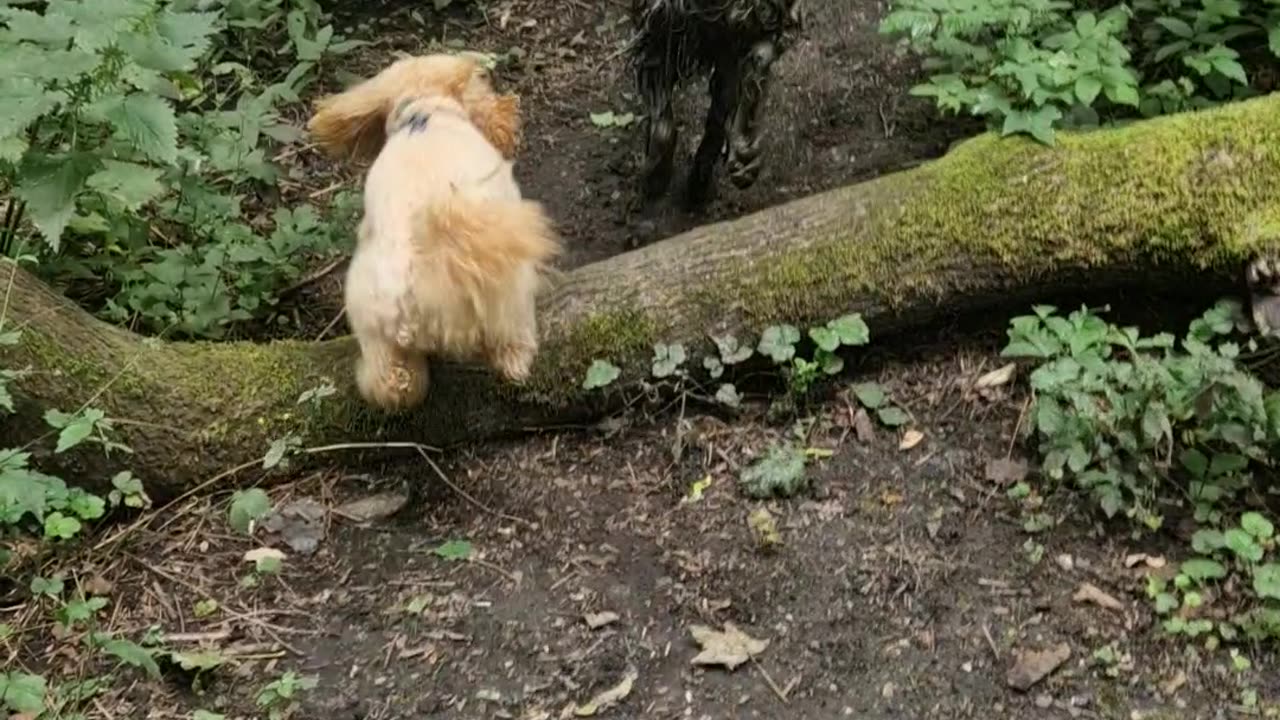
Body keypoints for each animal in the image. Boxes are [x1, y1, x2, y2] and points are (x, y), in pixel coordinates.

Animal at [307, 53, 558, 409]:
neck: (422, 113)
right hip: (503, 290)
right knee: (511, 339)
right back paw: (516, 362)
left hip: (375, 330)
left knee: (394, 383)